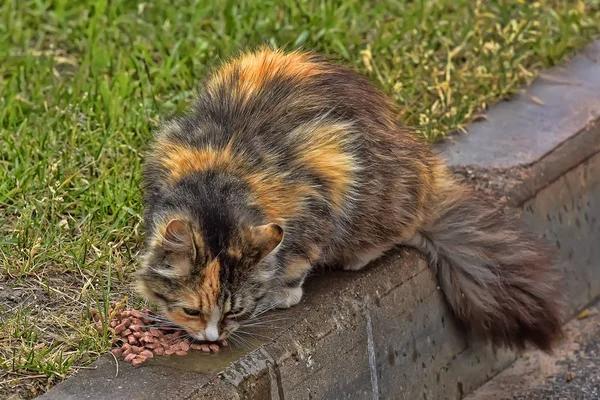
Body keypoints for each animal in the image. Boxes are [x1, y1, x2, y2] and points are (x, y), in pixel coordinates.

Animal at [137, 47, 564, 350]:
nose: (213, 337)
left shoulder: (324, 183)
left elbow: (295, 261)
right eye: (192, 310)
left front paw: (280, 293)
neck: (220, 177)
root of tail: (428, 173)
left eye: (235, 312)